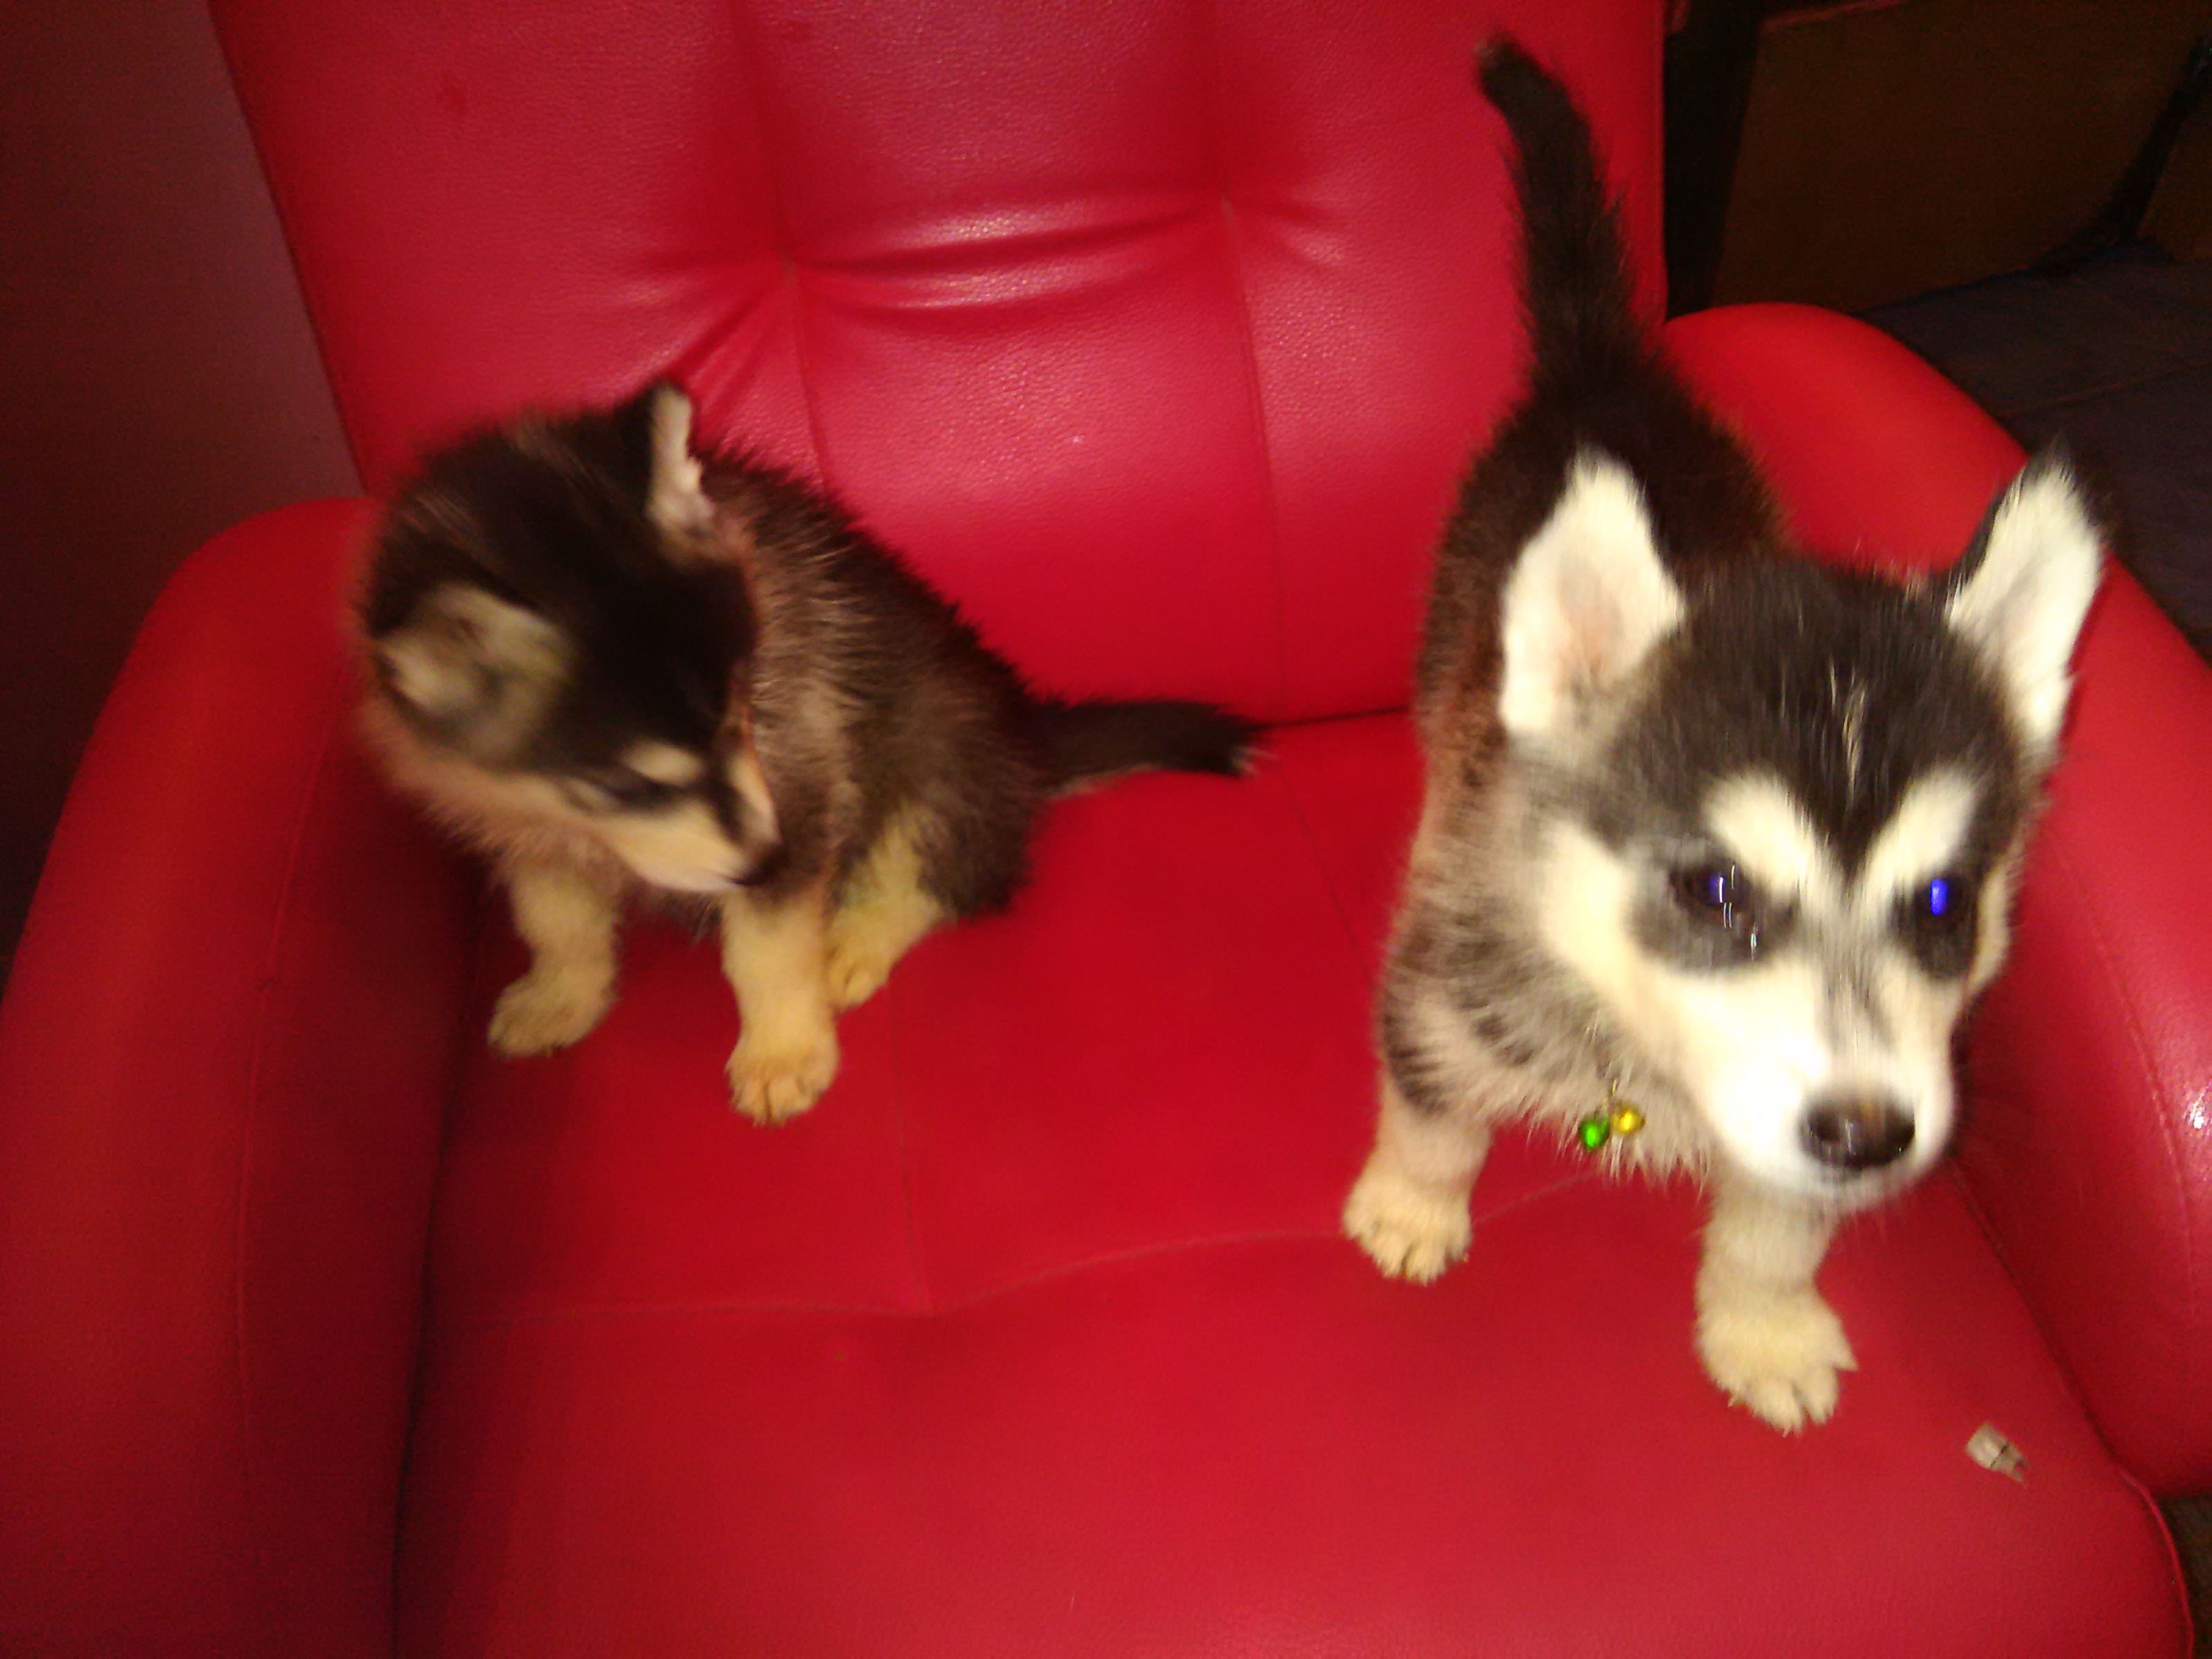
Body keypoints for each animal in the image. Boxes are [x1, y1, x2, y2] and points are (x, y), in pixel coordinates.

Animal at [359, 382, 1256, 1122]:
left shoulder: (803, 767)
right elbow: (554, 918)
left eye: (743, 711)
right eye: (622, 783)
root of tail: (1027, 741)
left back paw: (854, 937)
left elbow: (765, 946)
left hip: (941, 748)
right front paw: (561, 996)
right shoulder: (519, 827)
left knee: (940, 869)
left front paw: (781, 1051)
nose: (769, 859)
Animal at [1342, 40, 2103, 1431]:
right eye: (1713, 890)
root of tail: (1607, 372)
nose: (1869, 1135)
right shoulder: (1445, 976)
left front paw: (1763, 1327)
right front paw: (1414, 1201)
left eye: (1943, 903)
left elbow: (1778, 1229)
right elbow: (1434, 1101)